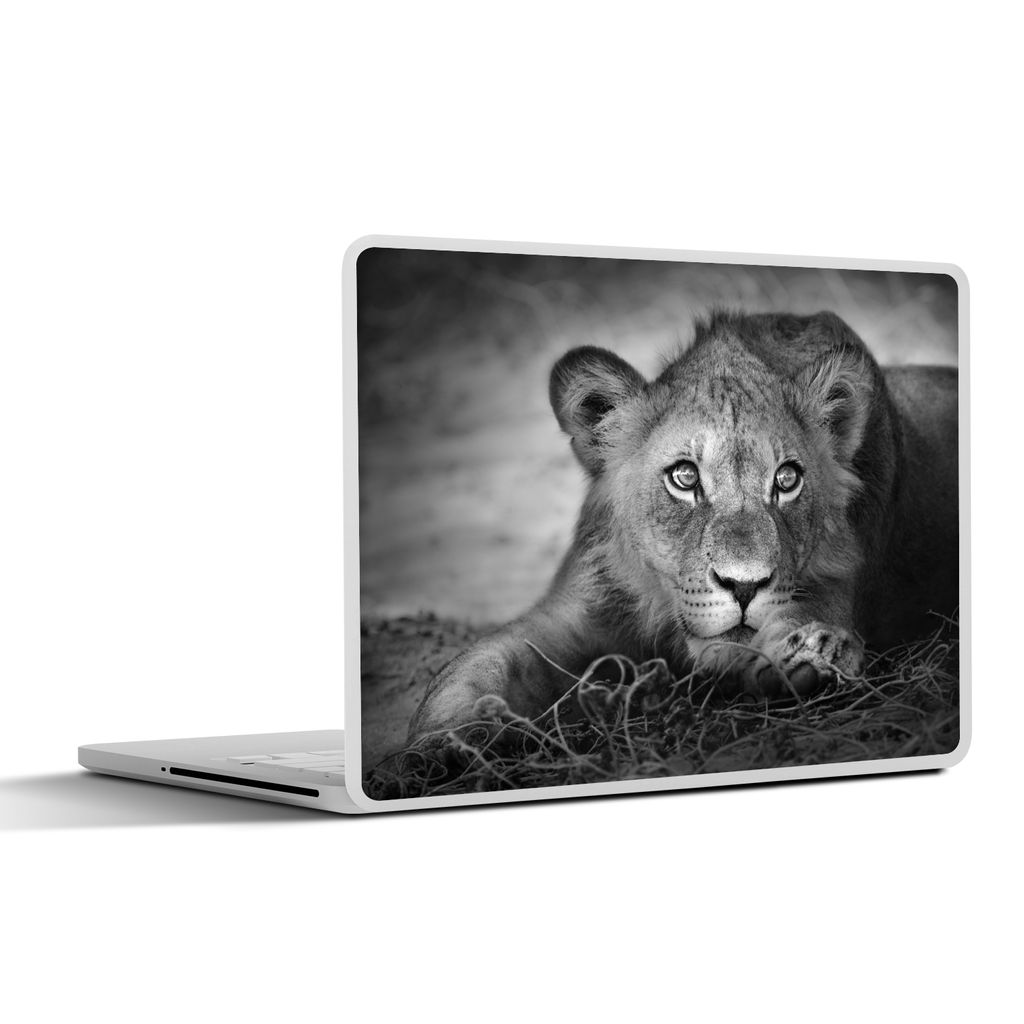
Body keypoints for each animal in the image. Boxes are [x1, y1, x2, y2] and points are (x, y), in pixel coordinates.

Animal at [407, 310, 958, 742]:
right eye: (685, 476)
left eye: (786, 479)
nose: (744, 586)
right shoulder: (573, 611)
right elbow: (474, 667)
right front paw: (434, 751)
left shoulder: (834, 587)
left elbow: (805, 621)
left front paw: (815, 657)